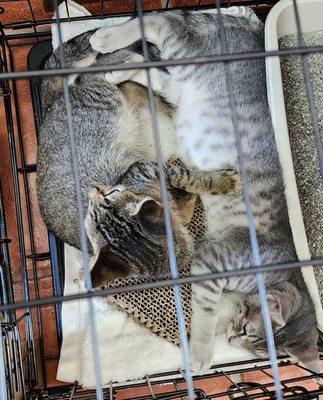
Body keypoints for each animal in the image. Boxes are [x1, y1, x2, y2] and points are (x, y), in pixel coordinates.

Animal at [90, 9, 322, 372]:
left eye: (256, 351)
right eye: (247, 330)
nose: (233, 342)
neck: (278, 268)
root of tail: (245, 26)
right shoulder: (210, 264)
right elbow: (205, 315)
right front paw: (201, 353)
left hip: (180, 86)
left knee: (152, 68)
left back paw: (116, 70)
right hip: (185, 53)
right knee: (159, 22)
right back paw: (105, 38)